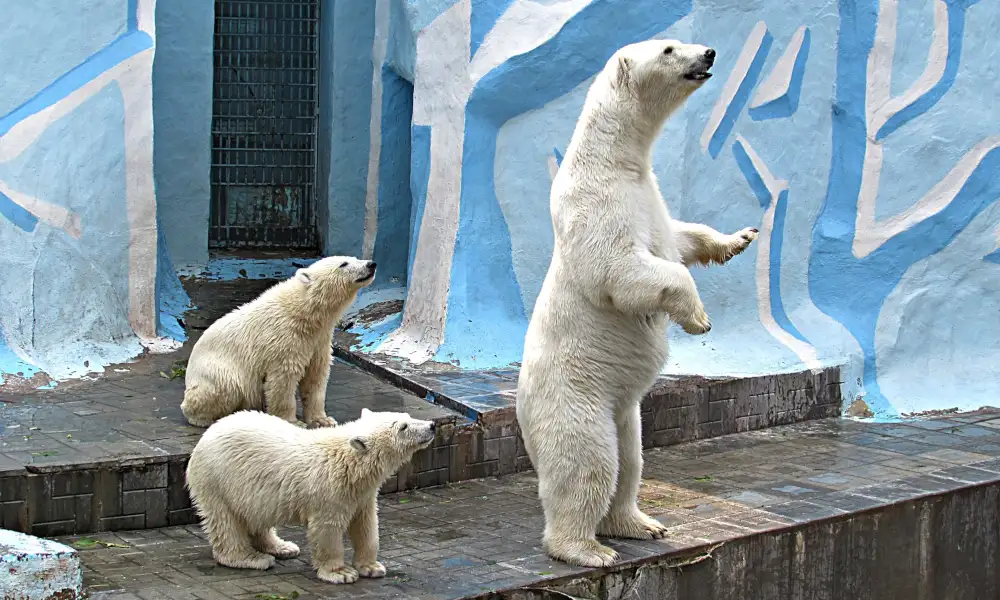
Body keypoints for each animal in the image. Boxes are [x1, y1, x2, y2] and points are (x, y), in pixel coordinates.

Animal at [180, 255, 376, 428]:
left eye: (355, 258)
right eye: (344, 264)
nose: (371, 264)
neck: (305, 313)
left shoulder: (319, 341)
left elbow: (315, 377)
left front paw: (323, 420)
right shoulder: (284, 338)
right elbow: (283, 379)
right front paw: (293, 421)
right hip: (217, 371)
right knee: (226, 387)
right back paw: (206, 418)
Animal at [188, 408, 438, 580]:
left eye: (407, 416)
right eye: (403, 426)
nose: (432, 425)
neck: (348, 463)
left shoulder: (362, 495)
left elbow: (366, 525)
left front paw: (372, 567)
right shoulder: (329, 492)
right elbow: (327, 530)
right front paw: (341, 572)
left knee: (257, 516)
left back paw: (282, 547)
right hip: (218, 480)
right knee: (226, 522)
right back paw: (252, 558)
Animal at [516, 41, 756, 568]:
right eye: (668, 48)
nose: (709, 52)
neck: (612, 161)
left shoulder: (650, 196)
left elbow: (681, 240)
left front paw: (741, 237)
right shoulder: (598, 205)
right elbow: (620, 268)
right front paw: (699, 319)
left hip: (625, 412)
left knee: (631, 461)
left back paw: (640, 523)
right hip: (576, 399)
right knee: (589, 465)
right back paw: (587, 548)